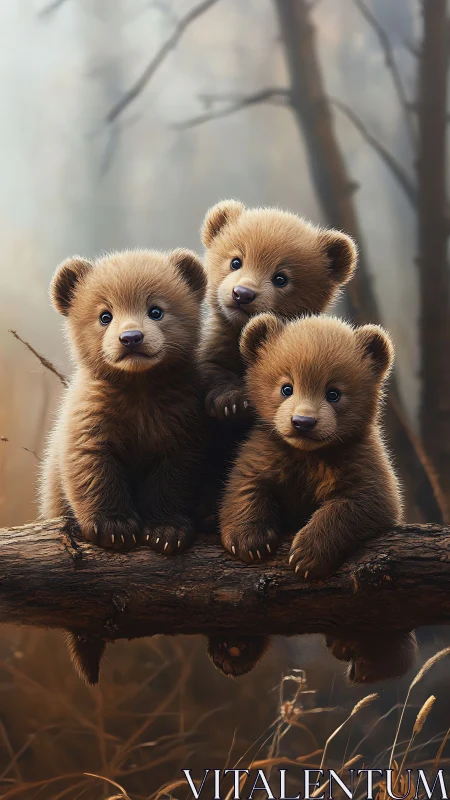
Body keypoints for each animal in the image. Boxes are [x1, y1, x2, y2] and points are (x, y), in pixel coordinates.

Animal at [40, 248, 207, 683]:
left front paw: (166, 533)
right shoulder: (91, 415)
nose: (131, 339)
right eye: (105, 315)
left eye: (156, 310)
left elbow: (176, 474)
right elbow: (91, 465)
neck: (139, 388)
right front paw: (115, 528)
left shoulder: (181, 420)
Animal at [209, 313, 417, 683]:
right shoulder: (265, 449)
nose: (303, 422)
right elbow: (244, 484)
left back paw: (369, 657)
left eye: (334, 392)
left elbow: (364, 503)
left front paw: (307, 554)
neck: (308, 454)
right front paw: (250, 541)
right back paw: (234, 647)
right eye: (286, 387)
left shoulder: (362, 460)